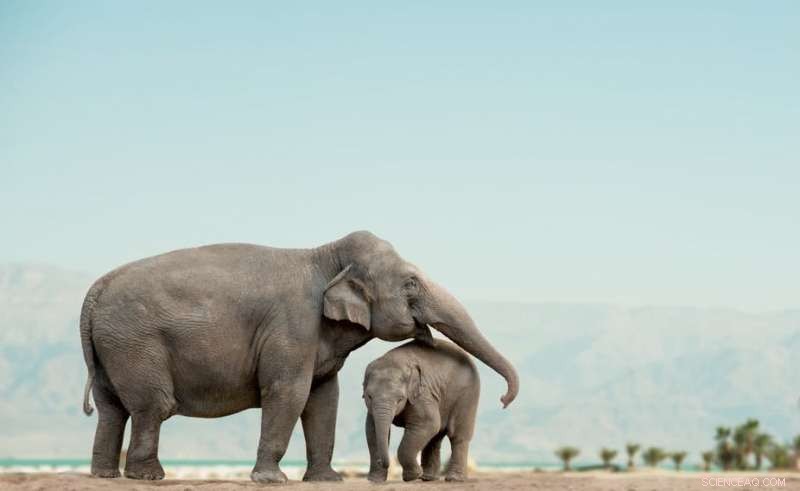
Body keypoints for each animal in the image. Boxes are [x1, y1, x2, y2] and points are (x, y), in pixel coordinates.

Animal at [363, 339, 480, 483]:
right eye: (369, 396)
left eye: (400, 399)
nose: (383, 462)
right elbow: (371, 430)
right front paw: (375, 480)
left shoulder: (422, 394)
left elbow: (429, 423)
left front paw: (412, 476)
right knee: (435, 437)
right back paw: (428, 478)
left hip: (467, 395)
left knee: (457, 435)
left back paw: (453, 479)